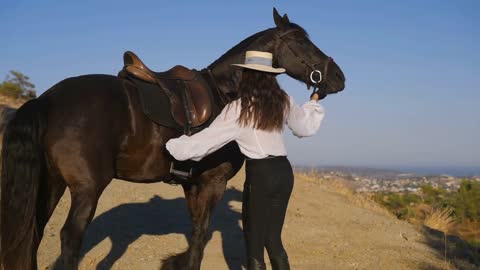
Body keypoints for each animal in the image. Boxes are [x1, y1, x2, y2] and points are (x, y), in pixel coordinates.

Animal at [0, 8, 344, 270]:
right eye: (301, 43)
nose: (338, 78)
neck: (226, 93)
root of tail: (47, 100)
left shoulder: (193, 183)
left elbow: (195, 232)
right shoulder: (213, 182)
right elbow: (202, 235)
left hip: (52, 183)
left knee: (33, 233)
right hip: (87, 189)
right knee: (70, 240)